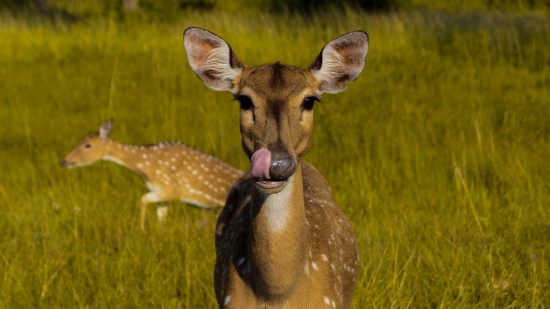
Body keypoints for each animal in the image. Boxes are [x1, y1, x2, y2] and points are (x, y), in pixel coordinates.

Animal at [61, 119, 245, 230]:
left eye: (87, 145)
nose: (64, 161)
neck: (147, 167)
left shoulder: (172, 189)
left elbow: (143, 199)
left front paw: (141, 230)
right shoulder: (163, 194)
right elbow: (161, 217)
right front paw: (159, 234)